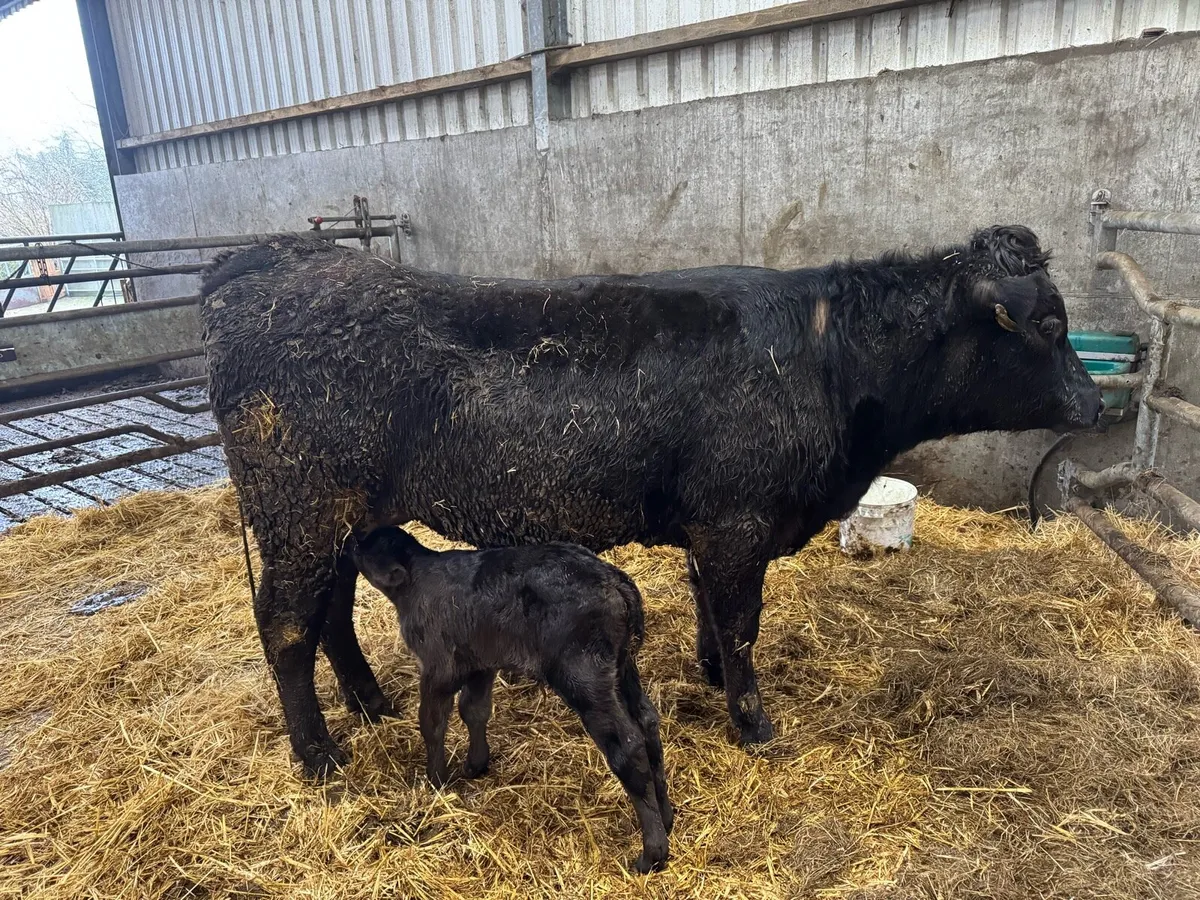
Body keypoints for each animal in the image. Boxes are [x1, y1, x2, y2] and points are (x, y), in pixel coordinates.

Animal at [199, 225, 1102, 778]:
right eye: (1050, 325)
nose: (1095, 405)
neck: (826, 353)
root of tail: (269, 261)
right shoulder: (738, 520)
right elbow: (741, 624)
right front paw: (754, 723)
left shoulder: (717, 526)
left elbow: (711, 609)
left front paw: (710, 676)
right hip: (299, 506)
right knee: (285, 625)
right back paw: (319, 755)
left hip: (335, 515)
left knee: (332, 611)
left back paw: (370, 704)